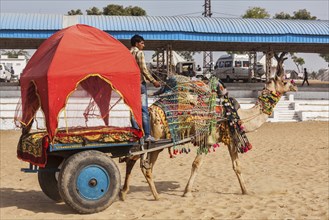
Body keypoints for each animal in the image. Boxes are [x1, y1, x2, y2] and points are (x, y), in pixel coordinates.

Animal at [119, 75, 296, 201]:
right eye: (284, 81)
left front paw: (245, 191)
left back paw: (124, 192)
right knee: (145, 165)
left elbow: (236, 166)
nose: (295, 85)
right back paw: (155, 196)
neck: (235, 115)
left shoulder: (230, 139)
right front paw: (187, 192)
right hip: (156, 139)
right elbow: (196, 164)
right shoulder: (208, 140)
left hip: (149, 141)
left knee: (133, 159)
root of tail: (149, 110)